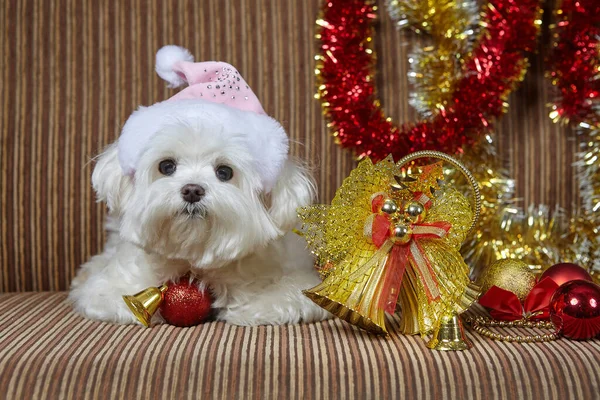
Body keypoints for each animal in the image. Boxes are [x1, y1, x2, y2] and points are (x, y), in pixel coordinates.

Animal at [72, 45, 332, 326]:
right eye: (167, 166)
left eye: (224, 172)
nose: (192, 190)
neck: (193, 258)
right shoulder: (105, 291)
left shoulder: (296, 285)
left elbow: (282, 300)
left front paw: (247, 306)